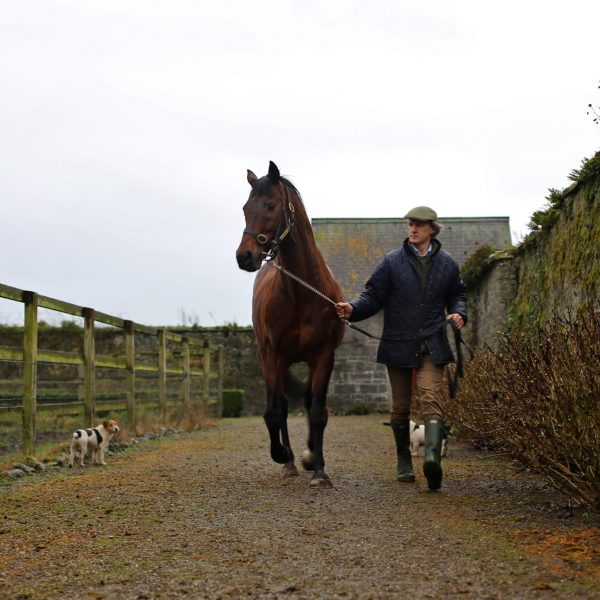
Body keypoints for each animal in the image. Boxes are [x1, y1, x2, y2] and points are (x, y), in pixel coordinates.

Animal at [236, 162, 344, 486]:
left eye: (271, 205)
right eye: (245, 208)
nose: (244, 256)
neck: (301, 292)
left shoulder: (323, 356)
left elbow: (318, 411)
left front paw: (318, 467)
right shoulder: (273, 356)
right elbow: (273, 411)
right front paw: (282, 455)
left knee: (308, 402)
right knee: (282, 407)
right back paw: (290, 462)